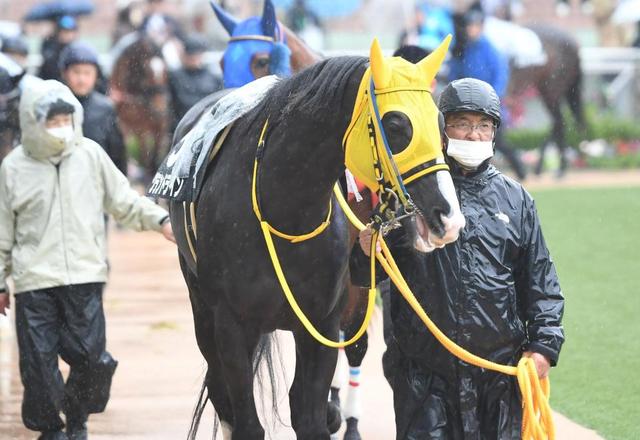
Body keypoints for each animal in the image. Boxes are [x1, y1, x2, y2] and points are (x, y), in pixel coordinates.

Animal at [110, 32, 171, 182]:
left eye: (165, 72)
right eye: (146, 71)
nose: (160, 110)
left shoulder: (160, 124)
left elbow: (156, 152)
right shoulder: (134, 126)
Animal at [165, 37, 463, 439]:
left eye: (440, 122)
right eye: (395, 124)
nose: (448, 216)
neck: (284, 209)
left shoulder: (322, 323)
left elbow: (311, 417)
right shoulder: (231, 324)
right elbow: (246, 420)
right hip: (202, 306)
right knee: (219, 387)